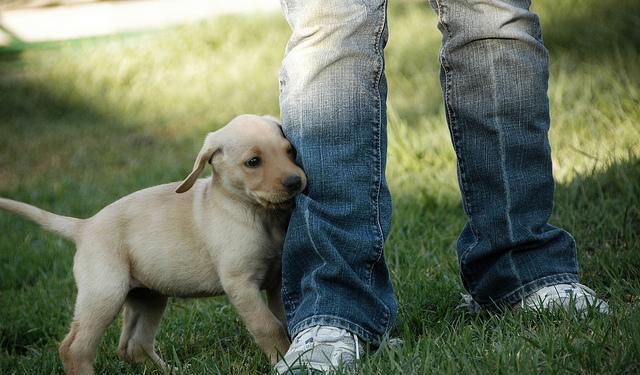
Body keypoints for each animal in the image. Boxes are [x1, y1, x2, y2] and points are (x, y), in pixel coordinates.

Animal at [0, 115, 308, 375]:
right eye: (253, 162)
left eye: (289, 151)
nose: (296, 181)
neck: (256, 213)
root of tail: (84, 226)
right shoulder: (240, 284)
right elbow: (268, 326)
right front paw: (285, 361)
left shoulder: (277, 280)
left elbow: (284, 320)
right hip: (105, 293)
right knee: (74, 348)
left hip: (148, 296)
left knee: (133, 345)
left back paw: (170, 371)